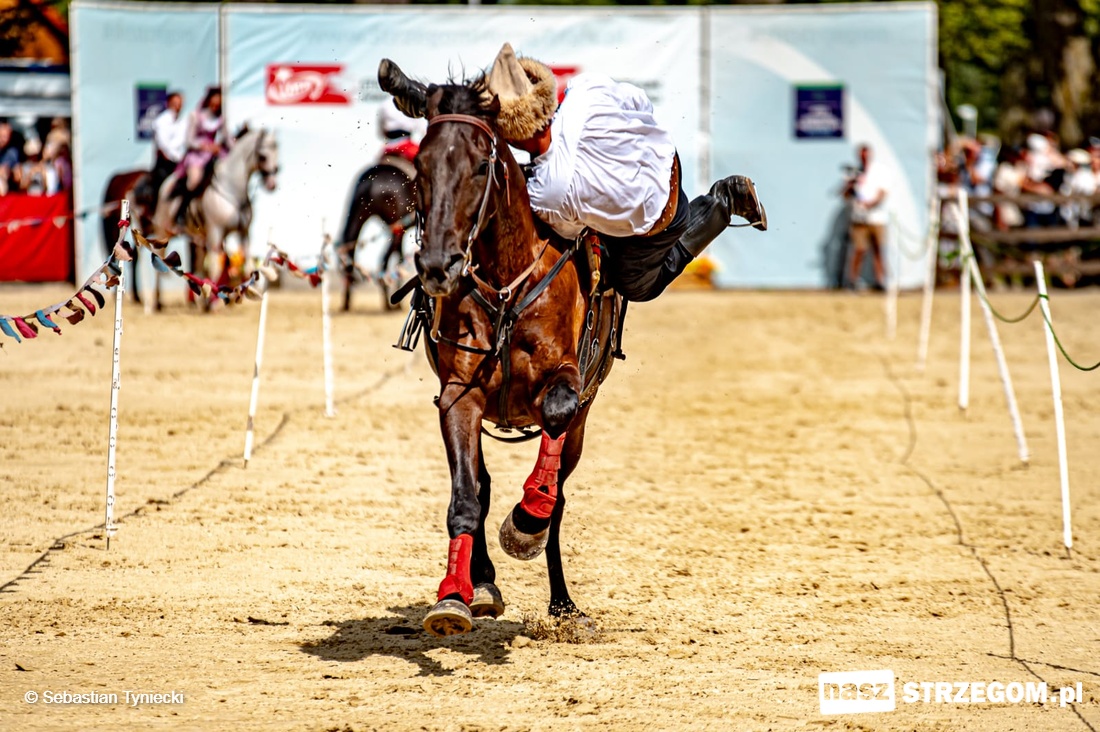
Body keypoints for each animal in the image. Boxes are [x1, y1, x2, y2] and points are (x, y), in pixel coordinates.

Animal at [152, 127, 279, 301]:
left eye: (277, 151)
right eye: (263, 156)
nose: (272, 184)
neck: (232, 191)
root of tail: (166, 184)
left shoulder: (243, 233)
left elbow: (247, 266)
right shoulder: (216, 235)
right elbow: (215, 268)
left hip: (199, 239)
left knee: (198, 266)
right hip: (164, 232)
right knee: (160, 264)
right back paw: (155, 303)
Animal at [339, 158, 416, 311]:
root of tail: (371, 181)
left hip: (360, 214)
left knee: (351, 252)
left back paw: (347, 303)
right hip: (396, 226)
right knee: (384, 261)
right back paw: (389, 303)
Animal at [380, 60, 624, 637]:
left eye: (479, 165)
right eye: (420, 166)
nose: (438, 266)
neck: (506, 283)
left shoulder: (567, 384)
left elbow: (554, 421)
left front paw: (527, 521)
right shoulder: (458, 394)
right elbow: (467, 497)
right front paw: (455, 595)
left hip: (584, 417)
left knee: (560, 487)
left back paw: (562, 602)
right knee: (486, 483)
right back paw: (484, 581)